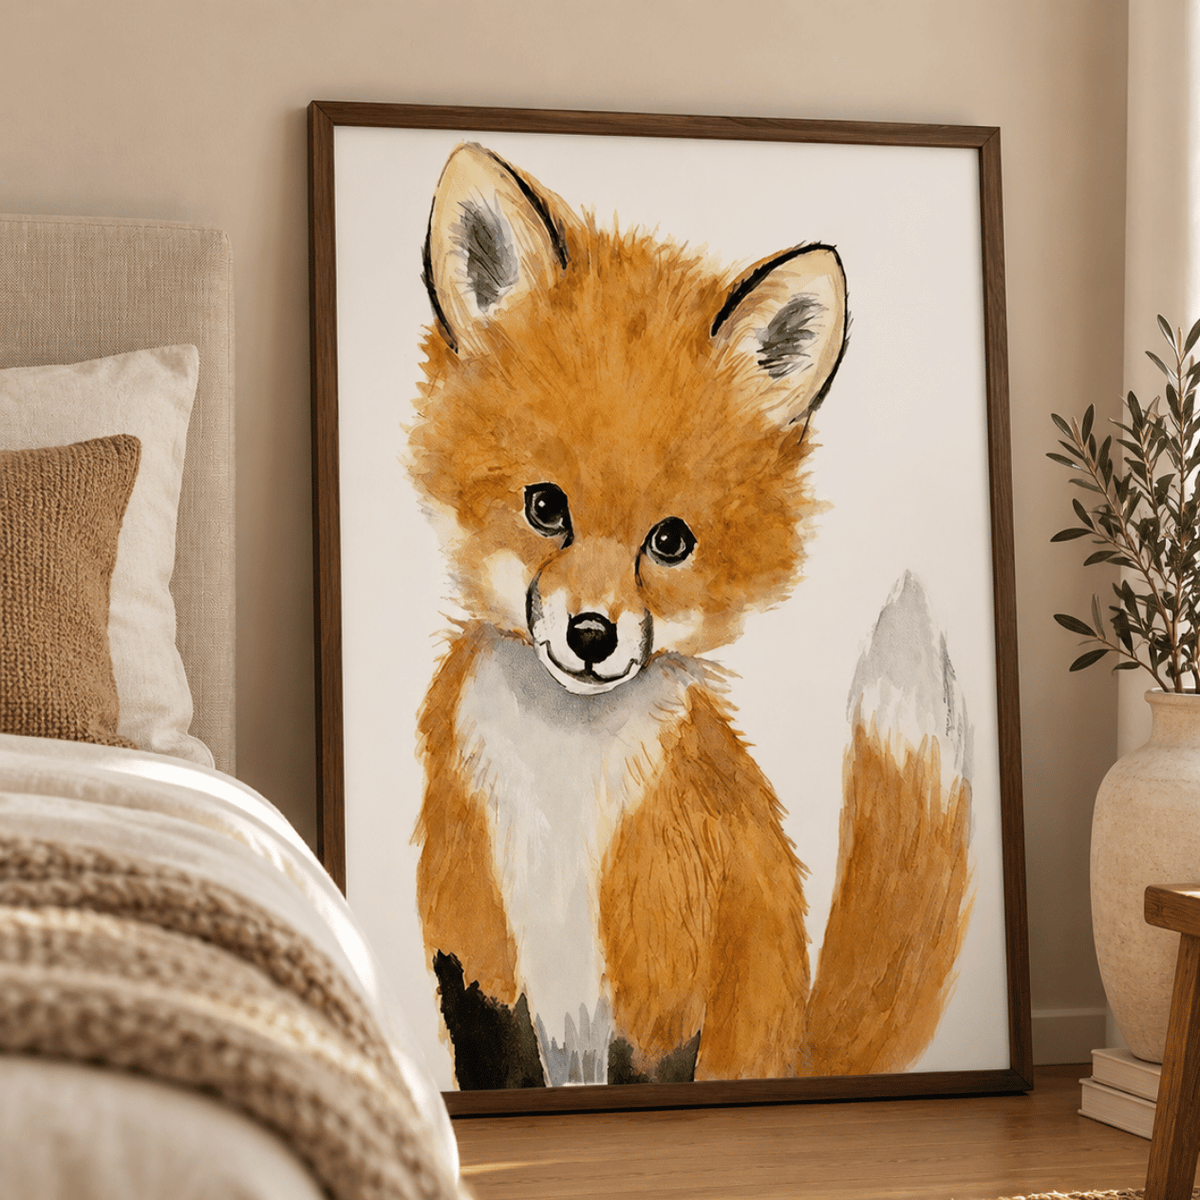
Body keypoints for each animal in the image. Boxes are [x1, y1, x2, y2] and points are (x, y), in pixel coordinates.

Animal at [407, 142, 973, 1089]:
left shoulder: (665, 977)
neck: (564, 787)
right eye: (545, 506)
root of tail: (804, 1049)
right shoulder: (478, 950)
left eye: (669, 541)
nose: (591, 637)